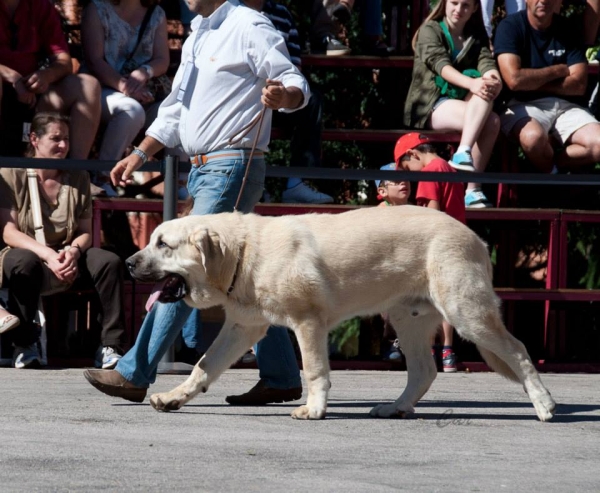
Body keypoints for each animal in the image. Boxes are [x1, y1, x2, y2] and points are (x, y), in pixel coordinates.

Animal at [126, 206, 556, 420]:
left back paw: (544, 405)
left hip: (466, 312)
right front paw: (174, 398)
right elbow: (203, 367)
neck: (245, 252)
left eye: (163, 244)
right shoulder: (242, 328)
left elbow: (315, 371)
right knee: (424, 370)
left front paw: (315, 410)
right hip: (408, 319)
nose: (129, 263)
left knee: (518, 351)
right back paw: (396, 408)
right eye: (152, 240)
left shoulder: (307, 322)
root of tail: (474, 236)